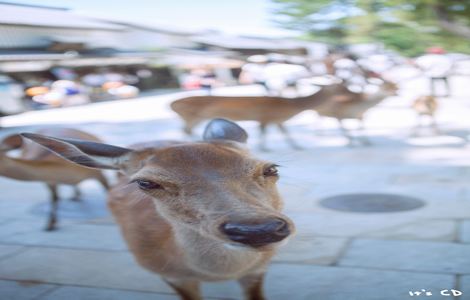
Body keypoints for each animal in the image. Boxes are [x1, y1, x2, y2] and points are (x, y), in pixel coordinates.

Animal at [171, 83, 346, 151]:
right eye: (340, 85)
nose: (349, 90)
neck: (290, 108)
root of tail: (171, 104)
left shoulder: (277, 121)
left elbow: (285, 133)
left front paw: (297, 146)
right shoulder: (266, 117)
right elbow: (264, 133)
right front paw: (264, 147)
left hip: (196, 117)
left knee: (186, 130)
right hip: (190, 116)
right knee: (186, 129)